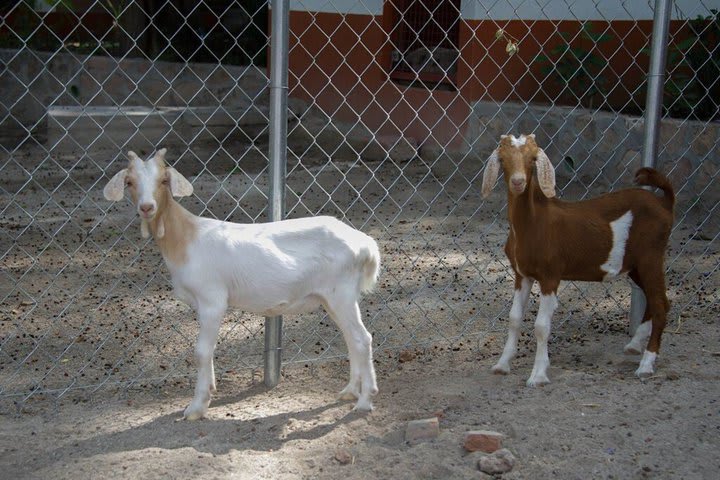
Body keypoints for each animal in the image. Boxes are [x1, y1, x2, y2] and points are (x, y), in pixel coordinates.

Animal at [105, 148, 382, 418]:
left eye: (164, 180)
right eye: (130, 182)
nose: (146, 207)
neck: (186, 238)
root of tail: (364, 243)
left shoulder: (212, 300)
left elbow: (201, 351)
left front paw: (196, 407)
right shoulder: (201, 304)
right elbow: (209, 350)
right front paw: (210, 390)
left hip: (341, 294)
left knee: (362, 339)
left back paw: (365, 401)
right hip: (333, 298)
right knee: (351, 339)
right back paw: (349, 391)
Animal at [484, 135, 676, 386]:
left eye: (532, 160)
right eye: (503, 159)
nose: (518, 182)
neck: (535, 222)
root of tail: (665, 203)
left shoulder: (550, 275)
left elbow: (541, 326)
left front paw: (538, 375)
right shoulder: (521, 274)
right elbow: (514, 318)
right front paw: (502, 365)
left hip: (651, 256)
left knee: (660, 304)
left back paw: (646, 365)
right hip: (636, 265)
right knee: (657, 301)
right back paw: (635, 345)